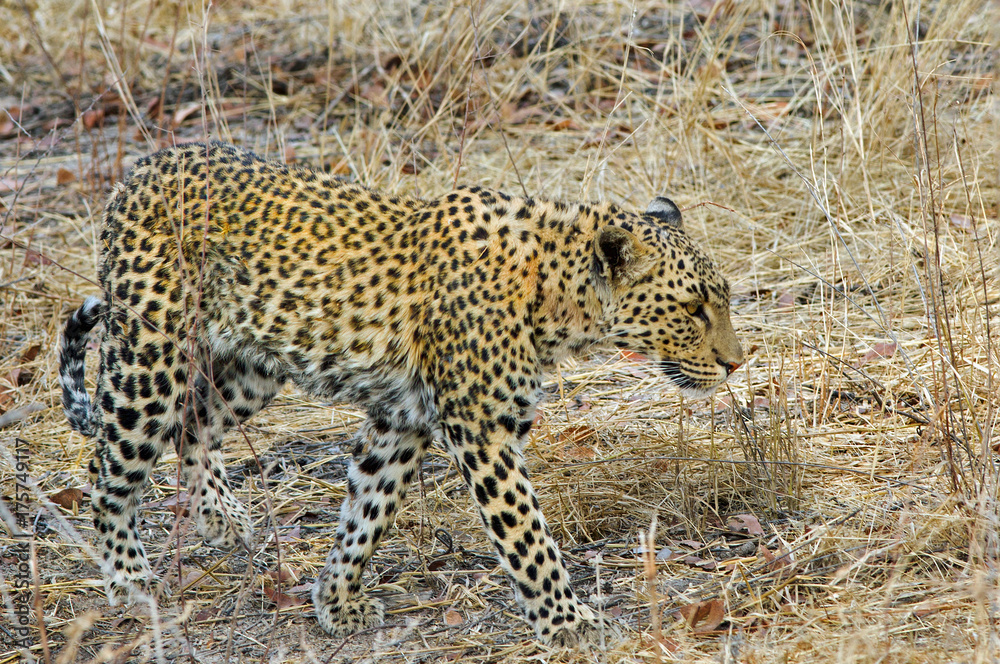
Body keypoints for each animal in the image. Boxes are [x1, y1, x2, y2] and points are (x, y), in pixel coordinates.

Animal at [59, 141, 744, 646]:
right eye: (692, 308)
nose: (736, 364)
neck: (554, 300)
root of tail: (138, 172)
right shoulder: (482, 430)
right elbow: (527, 536)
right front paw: (569, 622)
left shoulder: (402, 420)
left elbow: (368, 510)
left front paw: (336, 600)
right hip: (151, 361)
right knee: (108, 470)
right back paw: (130, 580)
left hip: (252, 365)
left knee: (195, 424)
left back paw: (219, 517)